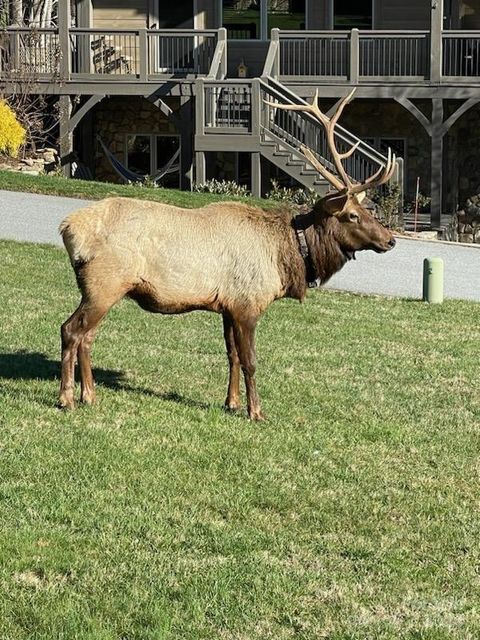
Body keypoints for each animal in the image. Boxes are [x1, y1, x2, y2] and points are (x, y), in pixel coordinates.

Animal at [59, 90, 398, 420]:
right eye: (352, 215)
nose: (391, 240)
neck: (285, 256)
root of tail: (68, 228)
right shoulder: (247, 302)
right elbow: (250, 360)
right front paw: (256, 411)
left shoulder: (228, 305)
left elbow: (231, 355)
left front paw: (231, 403)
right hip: (104, 283)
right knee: (71, 330)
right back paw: (67, 398)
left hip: (104, 290)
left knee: (87, 336)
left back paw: (89, 395)